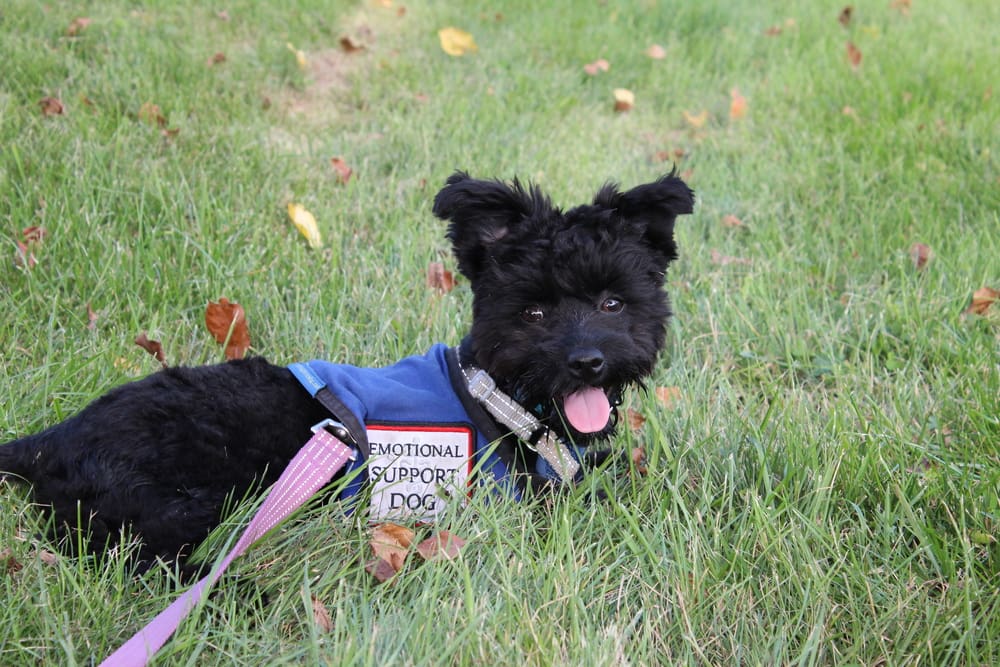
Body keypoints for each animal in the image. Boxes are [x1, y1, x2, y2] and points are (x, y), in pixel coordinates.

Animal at [0, 172, 692, 568]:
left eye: (612, 302)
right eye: (536, 310)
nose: (587, 361)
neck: (500, 400)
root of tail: (45, 444)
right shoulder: (510, 506)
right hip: (173, 508)